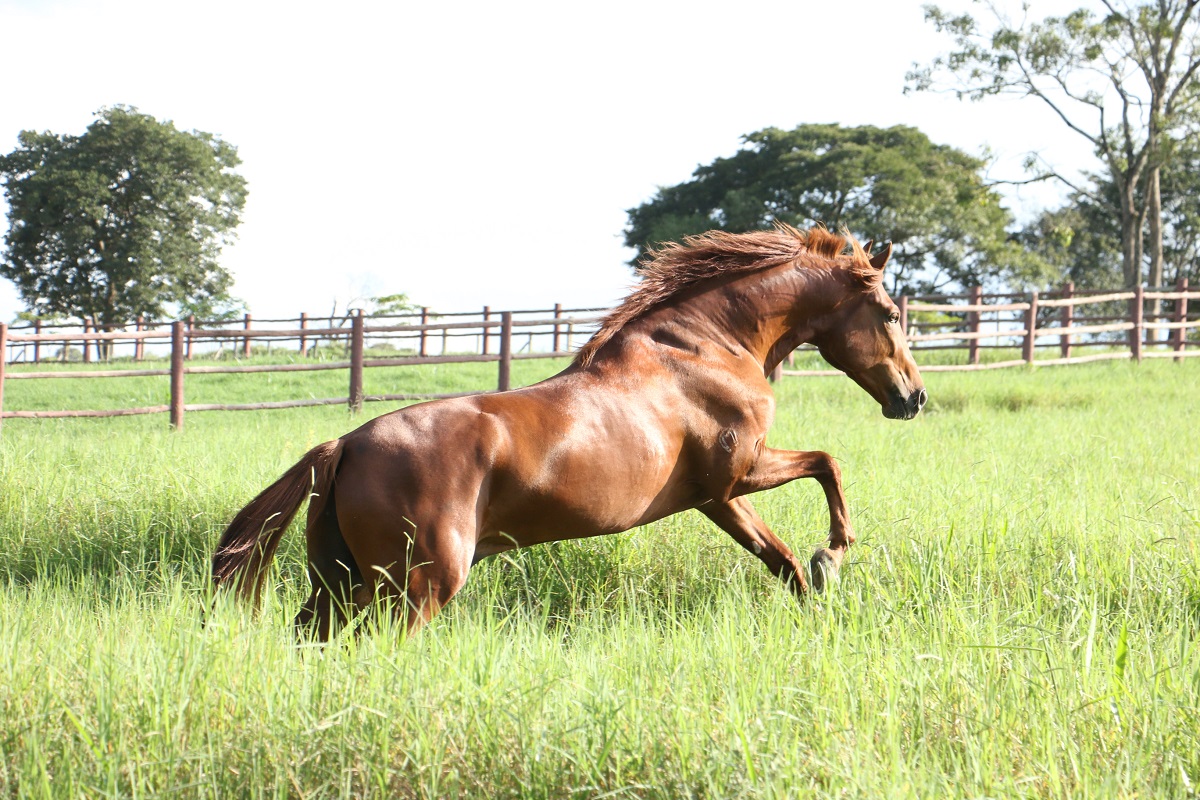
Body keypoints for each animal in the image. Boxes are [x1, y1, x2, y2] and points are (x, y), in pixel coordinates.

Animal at [212, 225, 926, 640]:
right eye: (890, 313)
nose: (913, 397)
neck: (704, 348)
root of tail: (345, 447)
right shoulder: (740, 470)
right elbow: (828, 463)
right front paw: (834, 554)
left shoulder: (715, 498)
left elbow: (782, 564)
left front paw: (819, 592)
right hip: (417, 587)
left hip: (338, 585)